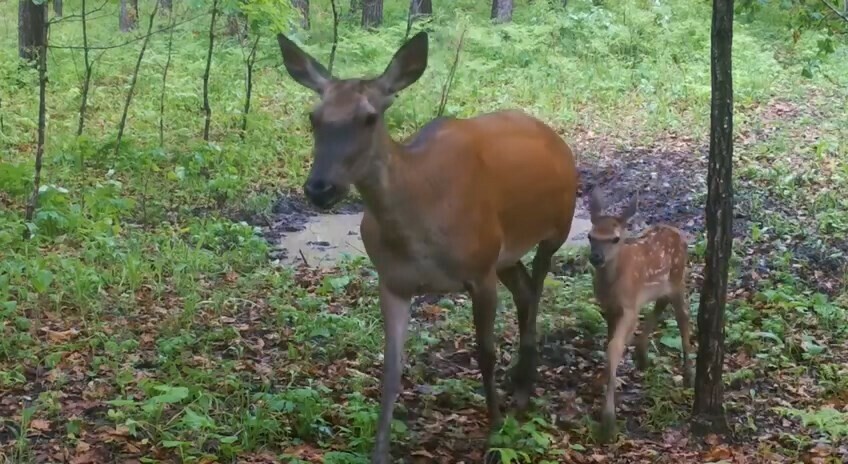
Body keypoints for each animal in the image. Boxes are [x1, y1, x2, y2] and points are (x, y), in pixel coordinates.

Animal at [274, 30, 580, 462]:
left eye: (369, 117)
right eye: (313, 118)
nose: (320, 188)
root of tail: (553, 135)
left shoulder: (479, 270)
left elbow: (485, 353)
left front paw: (495, 432)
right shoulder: (393, 281)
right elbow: (390, 368)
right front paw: (379, 451)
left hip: (556, 227)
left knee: (536, 291)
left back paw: (522, 391)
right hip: (506, 253)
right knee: (524, 290)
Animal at [588, 188, 692, 442]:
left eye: (615, 238)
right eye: (590, 236)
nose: (596, 257)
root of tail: (677, 231)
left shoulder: (629, 306)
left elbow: (614, 347)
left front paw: (608, 420)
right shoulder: (610, 307)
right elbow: (609, 343)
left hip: (678, 276)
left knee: (683, 317)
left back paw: (688, 375)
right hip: (662, 286)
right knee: (662, 303)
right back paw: (642, 355)